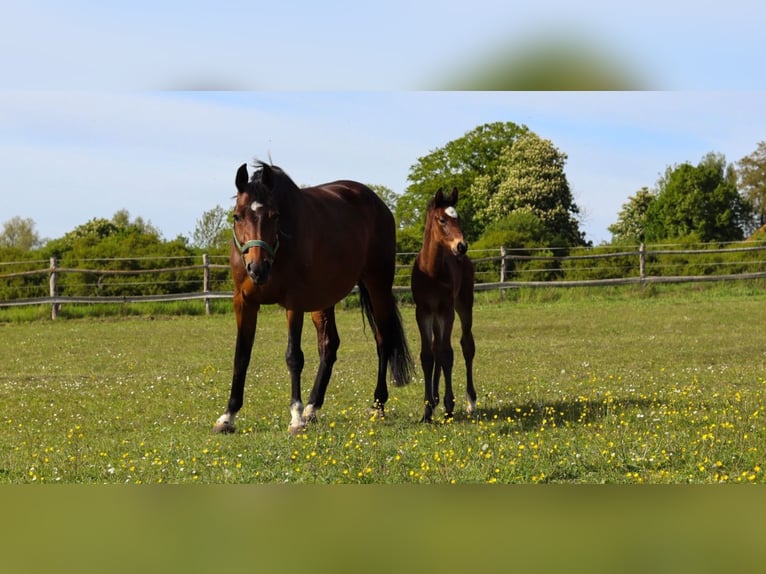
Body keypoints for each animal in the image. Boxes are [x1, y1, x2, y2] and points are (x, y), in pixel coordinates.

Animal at [213, 161, 413, 435]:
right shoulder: (244, 303)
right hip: (324, 298)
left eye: (274, 216)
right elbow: (241, 356)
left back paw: (377, 404)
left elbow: (294, 357)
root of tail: (378, 204)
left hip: (377, 285)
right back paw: (312, 408)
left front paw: (295, 418)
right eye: (237, 216)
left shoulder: (294, 303)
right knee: (329, 346)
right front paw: (228, 416)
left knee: (383, 340)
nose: (257, 268)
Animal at [410, 188, 476, 422]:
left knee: (467, 346)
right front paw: (427, 410)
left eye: (459, 218)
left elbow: (448, 354)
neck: (431, 271)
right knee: (436, 347)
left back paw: (471, 402)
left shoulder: (447, 312)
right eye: (442, 219)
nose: (461, 246)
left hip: (464, 305)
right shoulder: (423, 312)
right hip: (436, 315)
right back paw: (435, 399)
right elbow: (427, 355)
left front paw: (449, 406)